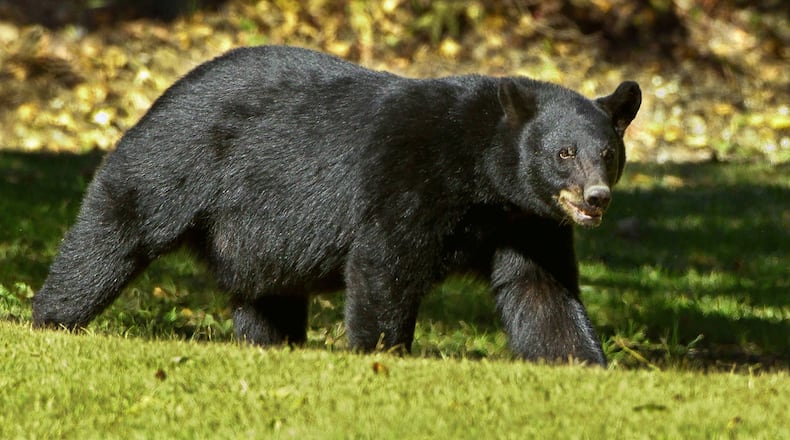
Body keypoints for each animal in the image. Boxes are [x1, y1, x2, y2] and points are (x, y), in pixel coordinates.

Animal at [32, 45, 641, 366]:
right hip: (176, 161)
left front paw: (583, 362)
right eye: (564, 153)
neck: (482, 175)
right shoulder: (409, 177)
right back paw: (51, 318)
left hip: (256, 236)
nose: (596, 198)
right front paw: (383, 354)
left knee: (266, 295)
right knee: (116, 230)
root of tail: (166, 91)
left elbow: (541, 290)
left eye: (607, 154)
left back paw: (271, 344)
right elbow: (385, 264)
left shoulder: (526, 220)